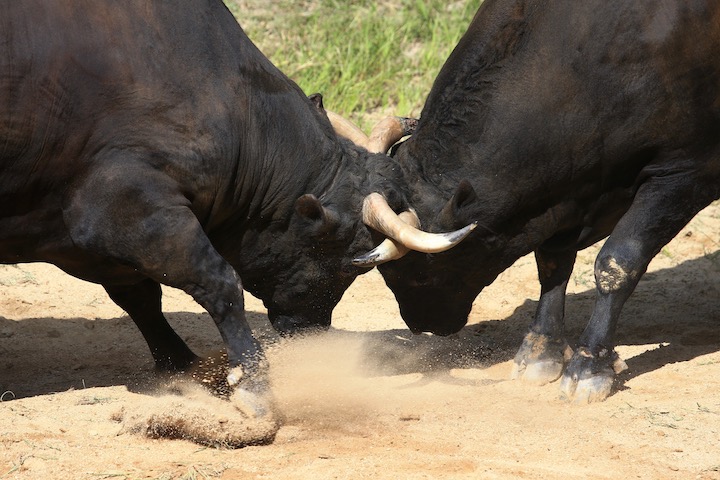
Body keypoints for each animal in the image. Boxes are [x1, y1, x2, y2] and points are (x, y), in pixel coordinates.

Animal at [376, 0, 720, 404]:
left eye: (421, 270)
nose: (421, 325)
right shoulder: (566, 194)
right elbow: (552, 263)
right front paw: (541, 350)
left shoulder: (687, 172)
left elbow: (617, 262)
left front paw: (590, 364)